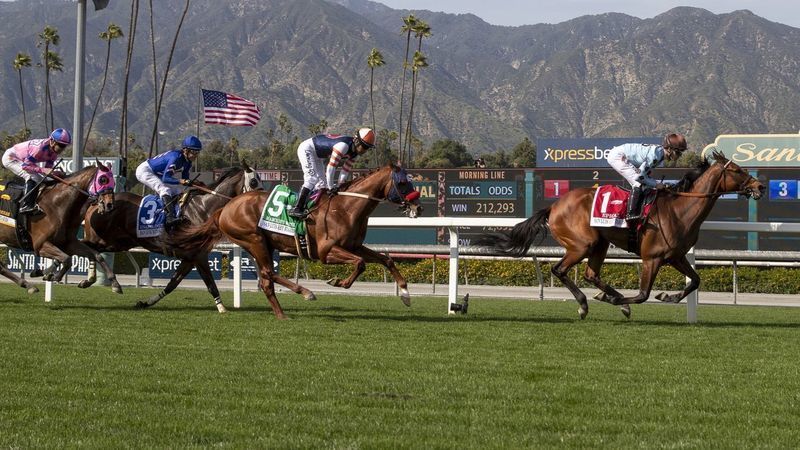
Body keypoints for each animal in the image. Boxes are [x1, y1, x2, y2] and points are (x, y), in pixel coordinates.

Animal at [0, 163, 115, 294]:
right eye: (103, 179)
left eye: (114, 181)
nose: (109, 205)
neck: (56, 205)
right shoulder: (40, 245)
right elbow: (67, 259)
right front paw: (53, 276)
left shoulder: (68, 243)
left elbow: (96, 255)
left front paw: (114, 283)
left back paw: (28, 285)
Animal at [77, 162, 260, 312]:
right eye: (253, 182)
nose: (261, 202)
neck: (203, 208)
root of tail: (97, 203)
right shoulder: (199, 255)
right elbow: (210, 284)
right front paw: (222, 308)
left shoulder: (190, 258)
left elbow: (173, 283)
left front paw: (146, 302)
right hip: (104, 238)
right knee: (85, 246)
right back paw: (91, 279)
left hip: (117, 243)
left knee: (91, 249)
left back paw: (90, 280)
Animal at [170, 163, 424, 318]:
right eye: (403, 183)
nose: (418, 207)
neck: (346, 207)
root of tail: (224, 208)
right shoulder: (326, 251)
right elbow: (360, 264)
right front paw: (337, 282)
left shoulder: (354, 246)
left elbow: (386, 259)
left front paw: (405, 295)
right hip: (254, 240)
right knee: (267, 274)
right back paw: (301, 296)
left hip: (261, 244)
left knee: (266, 279)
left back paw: (286, 309)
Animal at [478, 152, 764, 320]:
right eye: (737, 170)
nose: (759, 186)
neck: (680, 209)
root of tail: (554, 206)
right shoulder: (652, 258)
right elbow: (643, 294)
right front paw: (619, 300)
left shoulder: (676, 256)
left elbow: (695, 281)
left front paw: (667, 297)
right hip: (583, 244)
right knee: (560, 270)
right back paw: (585, 304)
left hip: (600, 243)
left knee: (591, 274)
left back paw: (605, 297)